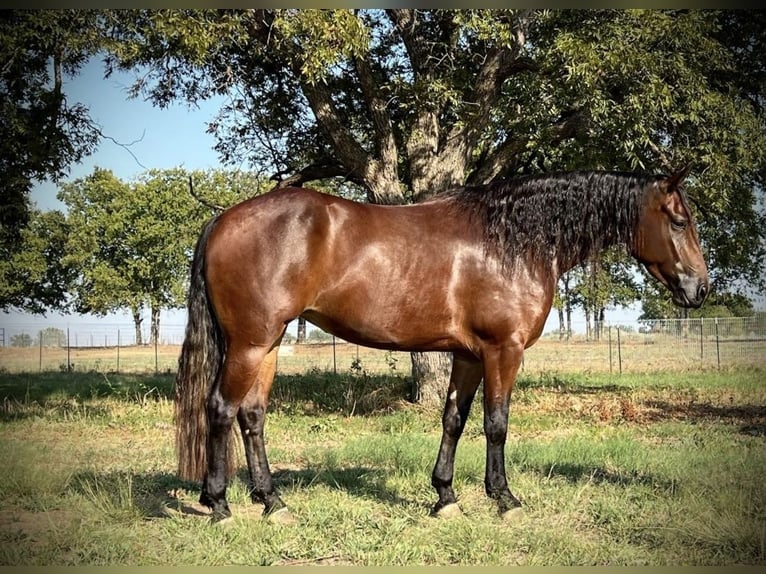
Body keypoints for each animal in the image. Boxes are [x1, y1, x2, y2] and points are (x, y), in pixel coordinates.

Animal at [174, 166, 709, 523]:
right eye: (679, 221)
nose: (700, 288)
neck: (512, 242)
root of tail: (224, 220)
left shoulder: (469, 353)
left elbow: (455, 418)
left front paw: (445, 497)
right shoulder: (503, 350)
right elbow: (496, 423)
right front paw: (505, 499)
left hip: (267, 343)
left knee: (252, 416)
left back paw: (272, 501)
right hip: (249, 343)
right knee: (220, 409)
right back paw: (219, 504)